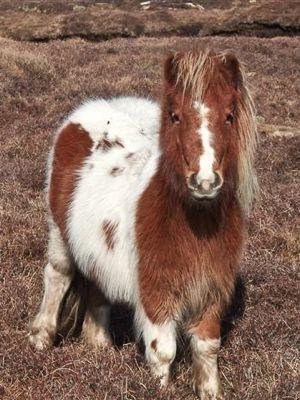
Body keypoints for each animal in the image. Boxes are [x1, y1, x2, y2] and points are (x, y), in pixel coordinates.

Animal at [29, 50, 256, 400]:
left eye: (229, 116)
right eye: (175, 116)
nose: (205, 182)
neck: (194, 224)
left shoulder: (212, 291)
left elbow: (207, 347)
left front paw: (210, 392)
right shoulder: (155, 291)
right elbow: (163, 350)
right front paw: (159, 390)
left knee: (97, 283)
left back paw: (100, 347)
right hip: (59, 235)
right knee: (58, 275)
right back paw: (41, 339)